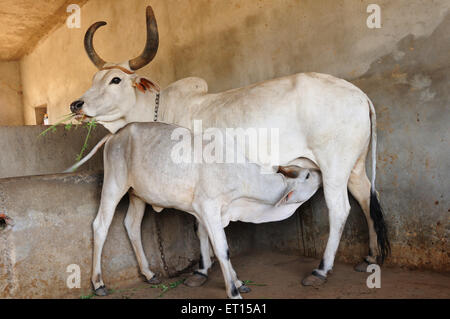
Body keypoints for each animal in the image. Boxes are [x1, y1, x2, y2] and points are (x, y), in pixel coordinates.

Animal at [69, 5, 386, 292]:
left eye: (116, 79)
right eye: (94, 80)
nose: (76, 105)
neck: (162, 108)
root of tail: (358, 93)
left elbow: (200, 228)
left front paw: (202, 270)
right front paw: (207, 270)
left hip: (333, 167)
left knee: (340, 209)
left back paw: (321, 270)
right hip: (353, 166)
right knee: (365, 196)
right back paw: (371, 256)